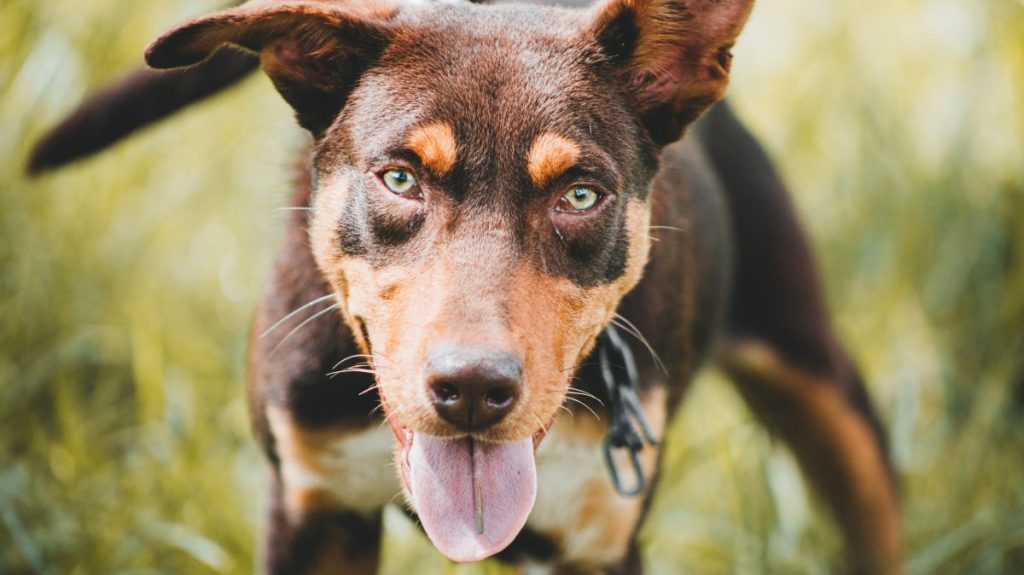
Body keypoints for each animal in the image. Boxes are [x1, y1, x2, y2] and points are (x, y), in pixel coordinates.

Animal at [28, 0, 901, 568]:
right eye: (400, 178)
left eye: (581, 195)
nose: (474, 388)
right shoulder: (315, 508)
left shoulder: (597, 537)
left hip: (817, 373)